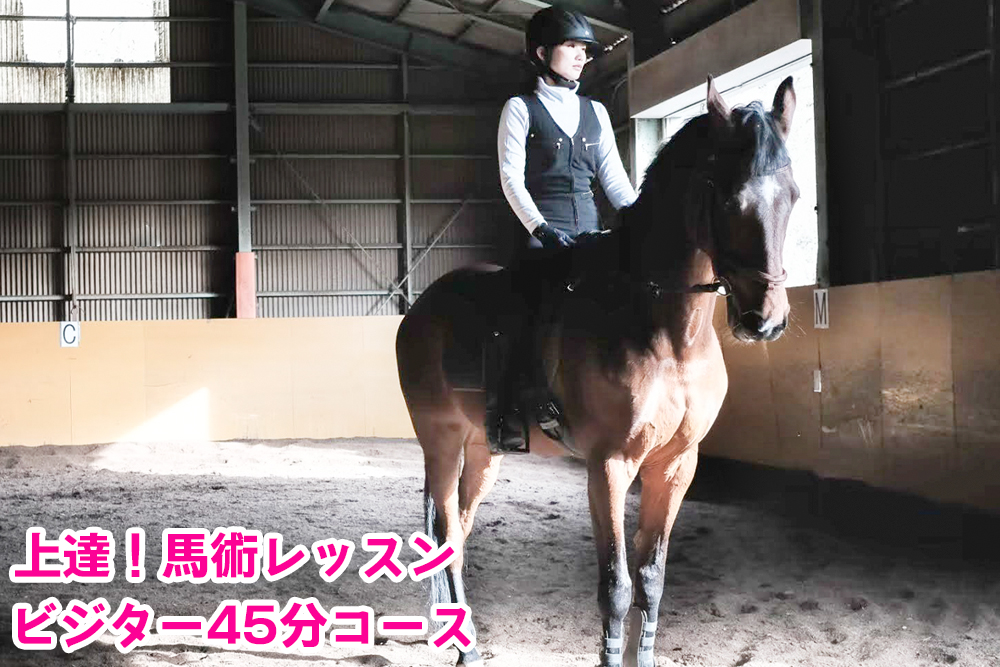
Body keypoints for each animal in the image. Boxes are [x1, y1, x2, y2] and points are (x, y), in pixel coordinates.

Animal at [395, 75, 799, 667]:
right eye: (728, 199)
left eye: (792, 196)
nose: (764, 321)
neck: (666, 331)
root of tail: (420, 309)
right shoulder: (609, 465)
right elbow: (617, 586)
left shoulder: (675, 465)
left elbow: (651, 579)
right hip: (441, 440)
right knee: (446, 534)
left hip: (482, 448)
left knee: (460, 534)